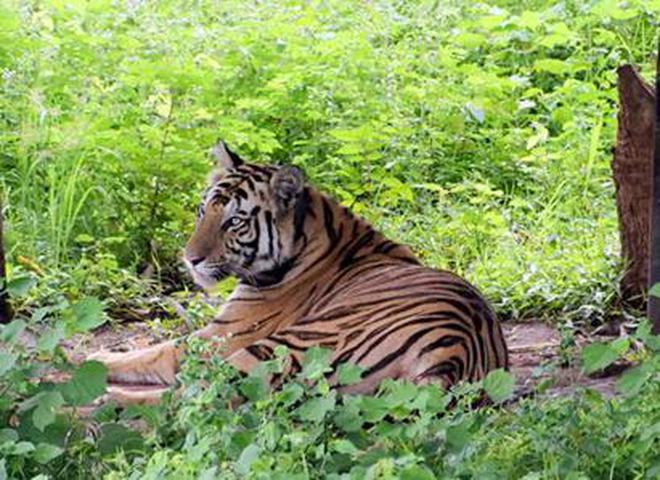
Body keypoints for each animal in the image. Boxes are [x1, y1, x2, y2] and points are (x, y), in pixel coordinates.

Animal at [90, 142, 508, 404]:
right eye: (202, 211)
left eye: (235, 221)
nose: (189, 259)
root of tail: (453, 350)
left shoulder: (217, 338)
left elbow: (150, 354)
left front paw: (91, 360)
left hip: (281, 348)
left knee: (195, 400)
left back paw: (112, 399)